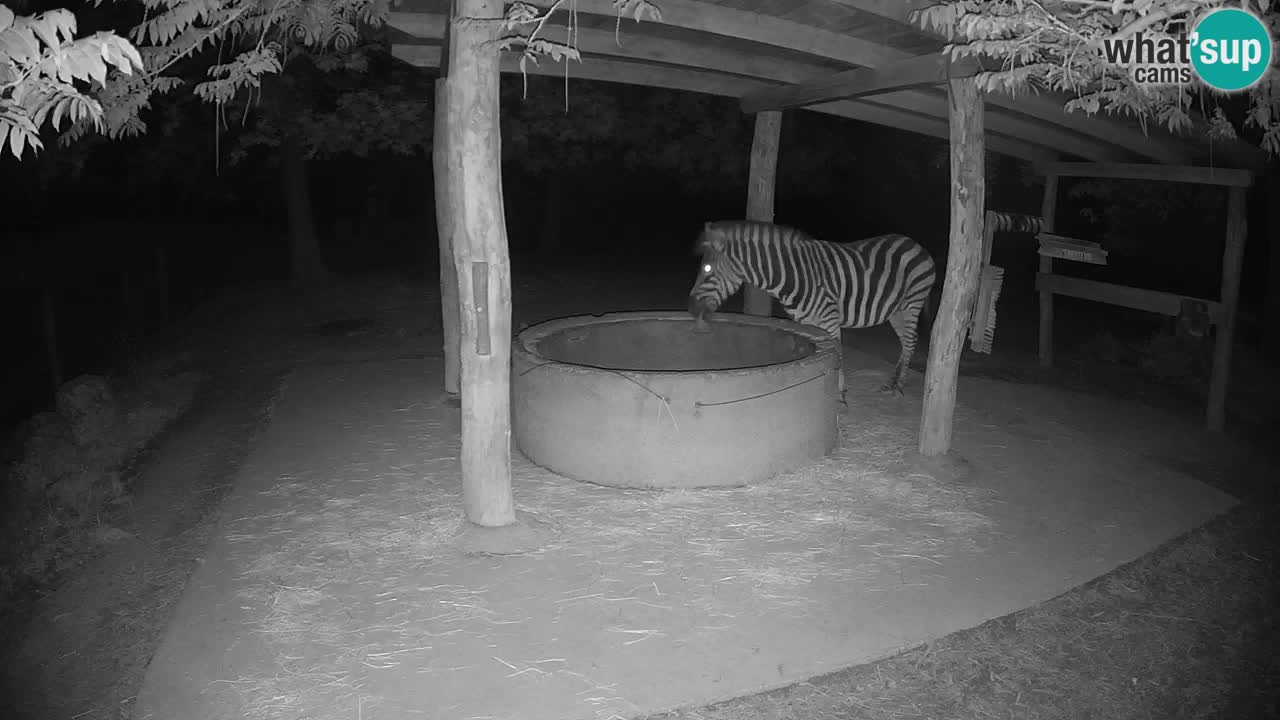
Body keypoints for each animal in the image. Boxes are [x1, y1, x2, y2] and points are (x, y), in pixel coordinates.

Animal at [688, 219, 937, 401]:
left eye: (707, 269)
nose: (690, 308)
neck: (793, 277)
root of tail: (913, 243)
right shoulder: (807, 322)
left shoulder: (830, 320)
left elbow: (837, 355)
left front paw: (839, 395)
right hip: (896, 310)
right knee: (906, 341)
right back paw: (891, 382)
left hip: (912, 302)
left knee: (911, 341)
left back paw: (899, 387)